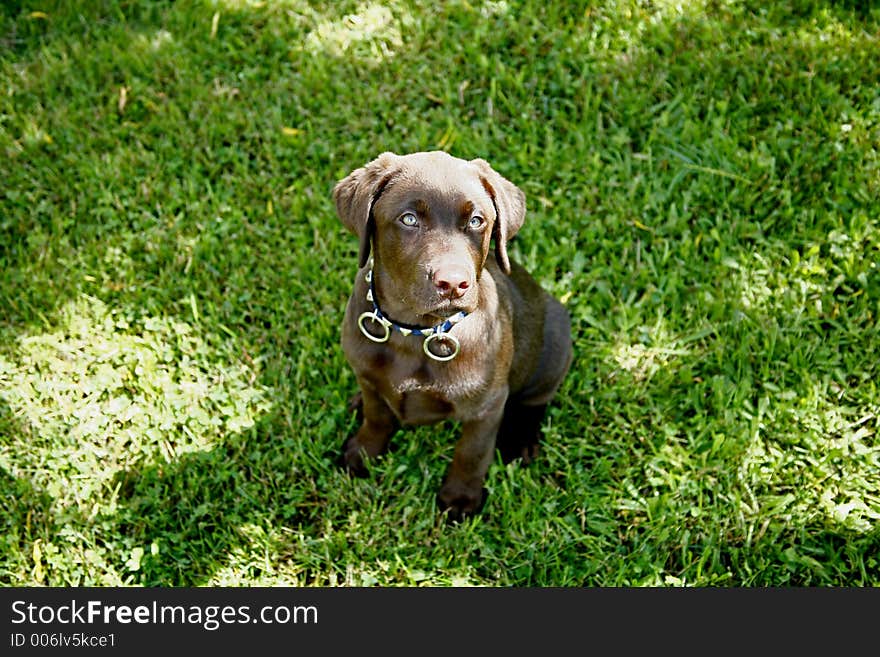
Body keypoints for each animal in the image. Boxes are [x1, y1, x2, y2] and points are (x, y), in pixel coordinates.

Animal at [334, 151, 576, 520]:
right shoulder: (367, 375)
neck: (415, 331)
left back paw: (521, 441)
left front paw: (460, 499)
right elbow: (376, 417)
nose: (453, 283)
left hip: (555, 348)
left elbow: (471, 452)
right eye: (408, 219)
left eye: (476, 221)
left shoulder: (487, 407)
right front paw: (362, 454)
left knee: (536, 399)